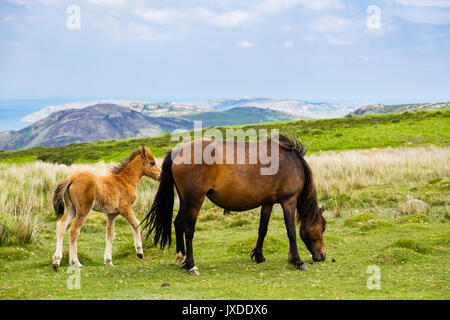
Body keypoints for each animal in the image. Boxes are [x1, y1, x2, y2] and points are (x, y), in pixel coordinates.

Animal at [142, 134, 326, 276]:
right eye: (322, 228)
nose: (322, 256)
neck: (291, 162)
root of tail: (177, 151)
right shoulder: (289, 201)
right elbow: (291, 232)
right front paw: (298, 261)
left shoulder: (267, 203)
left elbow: (262, 230)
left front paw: (259, 256)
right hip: (194, 201)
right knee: (188, 229)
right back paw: (192, 264)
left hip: (185, 200)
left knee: (178, 223)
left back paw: (183, 259)